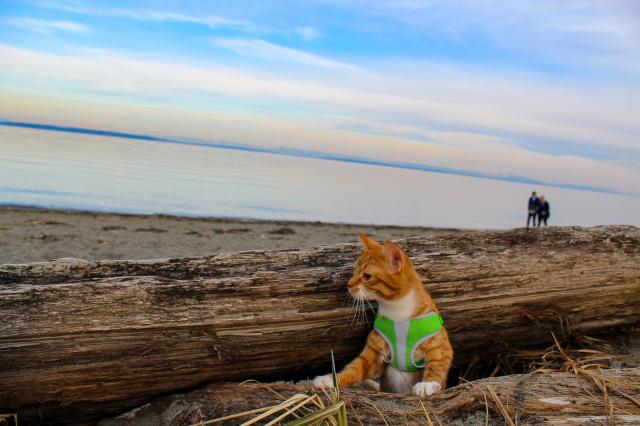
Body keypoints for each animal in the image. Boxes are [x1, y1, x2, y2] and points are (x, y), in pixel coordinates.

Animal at [312, 233, 452, 396]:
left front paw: (428, 383)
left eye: (367, 276)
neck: (397, 311)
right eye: (355, 270)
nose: (348, 284)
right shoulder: (372, 354)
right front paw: (331, 380)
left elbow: (437, 364)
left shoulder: (441, 346)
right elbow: (353, 368)